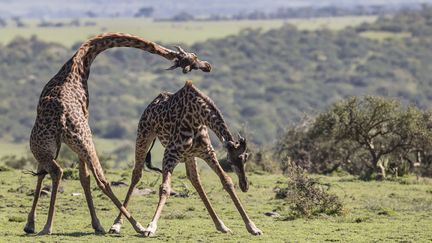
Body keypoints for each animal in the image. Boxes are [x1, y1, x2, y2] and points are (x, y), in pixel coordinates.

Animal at [24, 32, 212, 235]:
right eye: (193, 57)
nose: (207, 66)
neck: (78, 64)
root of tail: (62, 118)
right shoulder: (56, 143)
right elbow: (59, 175)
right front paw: (30, 224)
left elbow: (80, 177)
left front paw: (31, 224)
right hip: (61, 143)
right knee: (78, 175)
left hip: (65, 142)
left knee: (85, 176)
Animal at [109, 80, 262, 236]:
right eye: (230, 161)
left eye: (245, 158)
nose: (245, 185)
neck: (196, 117)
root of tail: (152, 103)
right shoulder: (170, 154)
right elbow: (165, 188)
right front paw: (151, 227)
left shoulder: (207, 152)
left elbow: (227, 181)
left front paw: (253, 227)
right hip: (143, 136)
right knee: (136, 174)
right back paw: (116, 224)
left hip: (189, 155)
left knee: (195, 179)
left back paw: (220, 225)